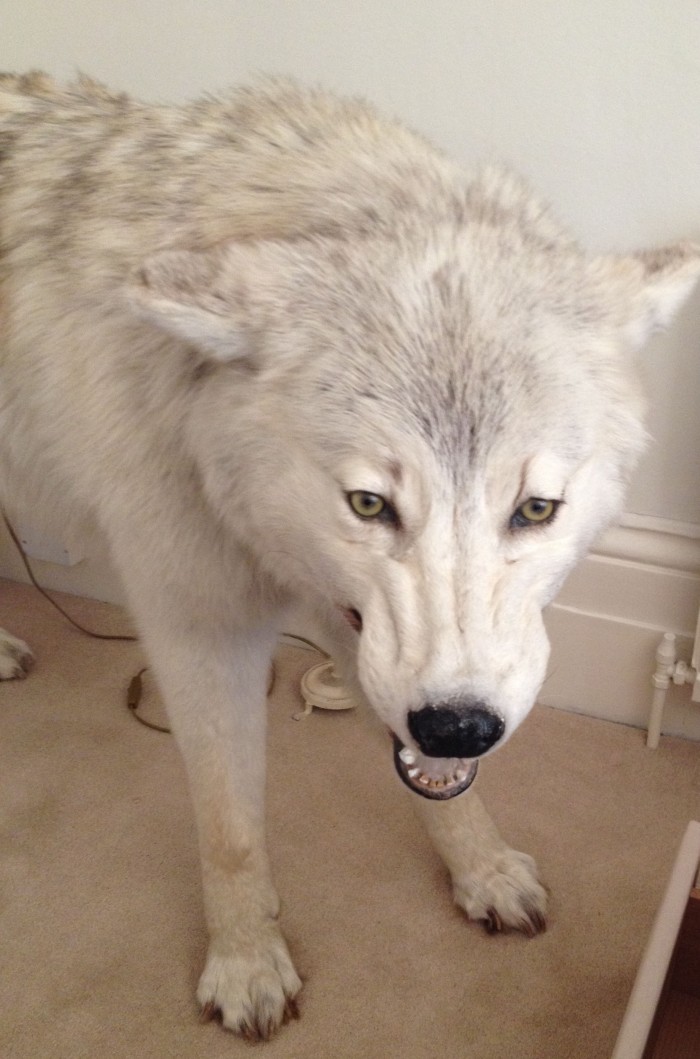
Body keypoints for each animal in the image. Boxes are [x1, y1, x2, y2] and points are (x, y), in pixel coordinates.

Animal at [1, 72, 698, 1033]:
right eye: (369, 503)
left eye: (535, 508)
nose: (460, 724)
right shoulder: (201, 628)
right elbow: (230, 826)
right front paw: (247, 962)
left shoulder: (359, 634)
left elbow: (444, 790)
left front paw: (483, 870)